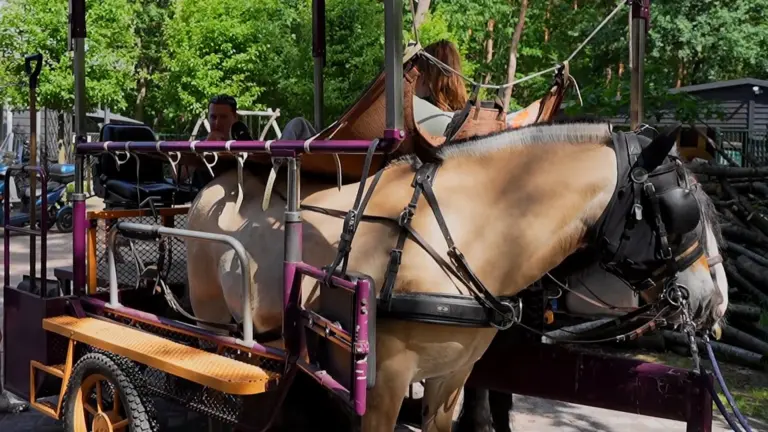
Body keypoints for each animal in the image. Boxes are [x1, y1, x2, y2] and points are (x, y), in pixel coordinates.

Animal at [185, 121, 726, 431]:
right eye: (681, 209)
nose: (709, 301)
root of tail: (214, 183)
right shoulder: (381, 390)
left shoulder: (451, 380)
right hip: (209, 319)